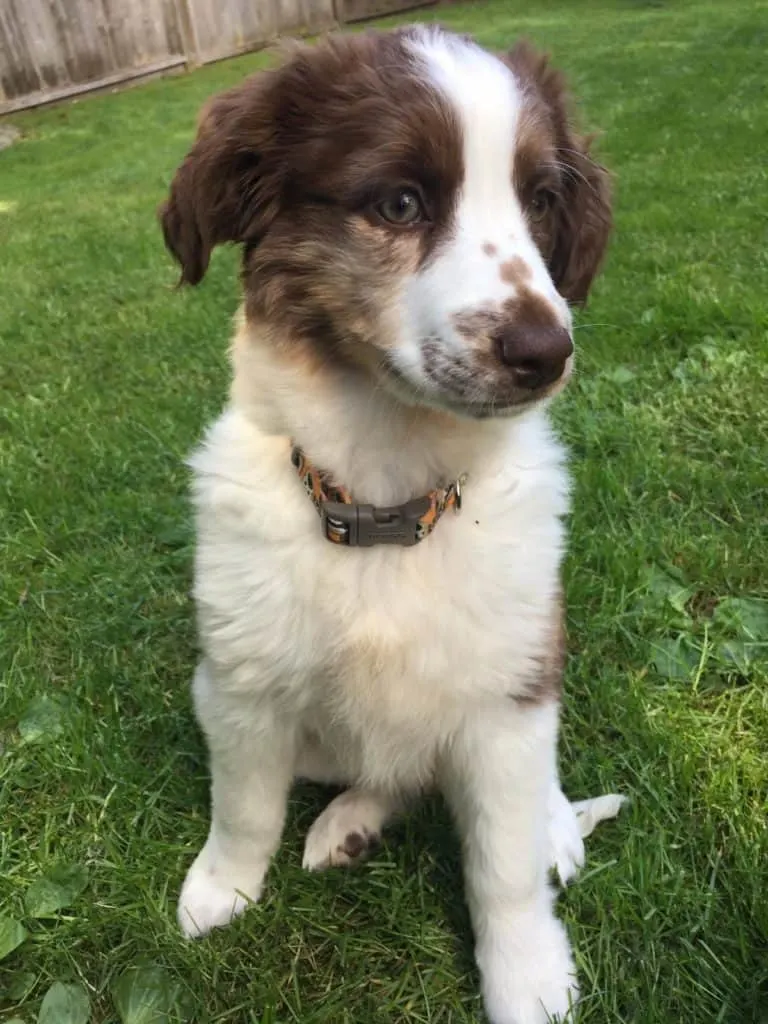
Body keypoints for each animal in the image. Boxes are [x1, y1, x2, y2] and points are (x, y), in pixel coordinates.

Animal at [160, 24, 626, 1024]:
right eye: (400, 202)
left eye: (541, 201)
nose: (546, 351)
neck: (385, 503)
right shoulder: (242, 682)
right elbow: (244, 805)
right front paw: (222, 889)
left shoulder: (503, 698)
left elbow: (503, 872)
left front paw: (529, 981)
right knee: (387, 777)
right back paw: (349, 824)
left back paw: (549, 827)